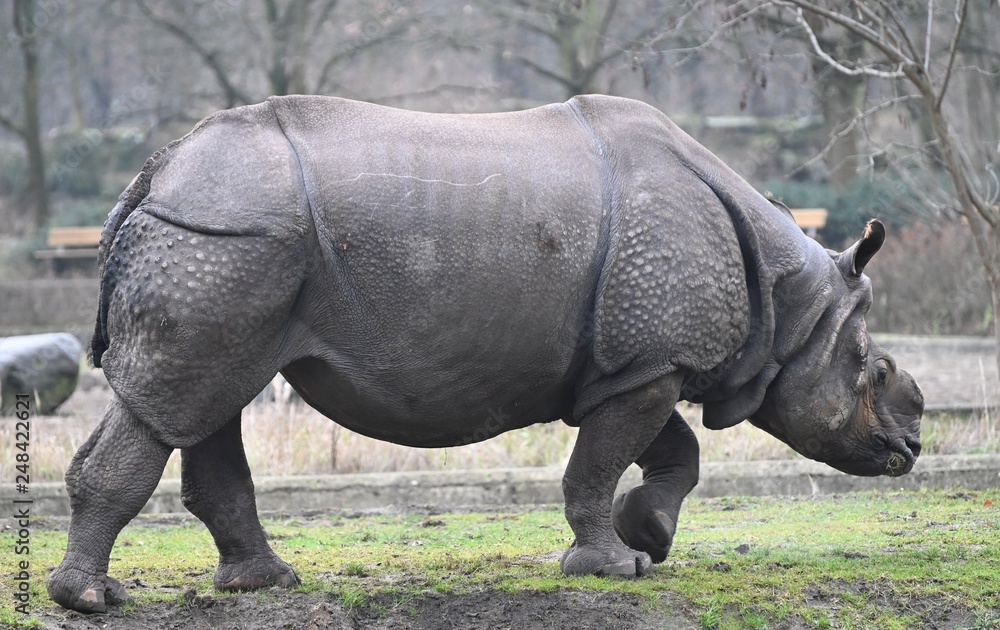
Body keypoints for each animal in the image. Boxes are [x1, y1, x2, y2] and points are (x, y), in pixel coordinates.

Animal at [47, 95, 923, 613]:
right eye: (874, 371)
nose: (912, 447)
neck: (795, 305)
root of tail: (157, 170)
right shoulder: (650, 361)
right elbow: (600, 462)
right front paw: (612, 569)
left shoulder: (635, 362)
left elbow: (667, 451)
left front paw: (651, 539)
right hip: (225, 239)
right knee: (174, 402)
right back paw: (90, 600)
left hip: (230, 244)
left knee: (209, 400)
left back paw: (261, 585)